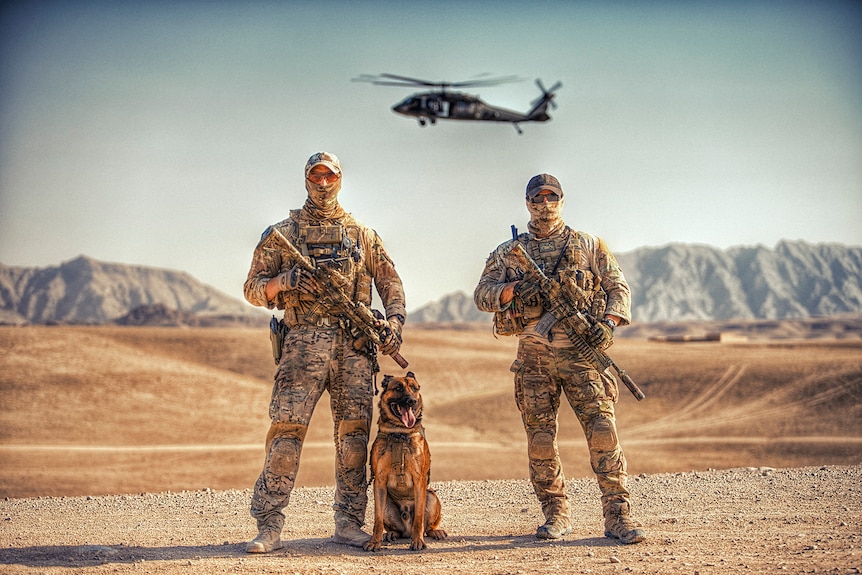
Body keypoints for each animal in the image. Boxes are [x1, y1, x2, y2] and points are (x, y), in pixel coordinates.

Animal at [364, 372, 448, 552]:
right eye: (398, 388)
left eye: (415, 388)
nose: (412, 401)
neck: (399, 433)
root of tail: (406, 530)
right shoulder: (379, 481)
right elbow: (377, 520)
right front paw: (375, 542)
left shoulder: (419, 480)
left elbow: (418, 519)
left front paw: (417, 542)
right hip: (387, 503)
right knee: (396, 529)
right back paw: (391, 534)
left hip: (431, 497)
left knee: (427, 526)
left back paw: (435, 532)